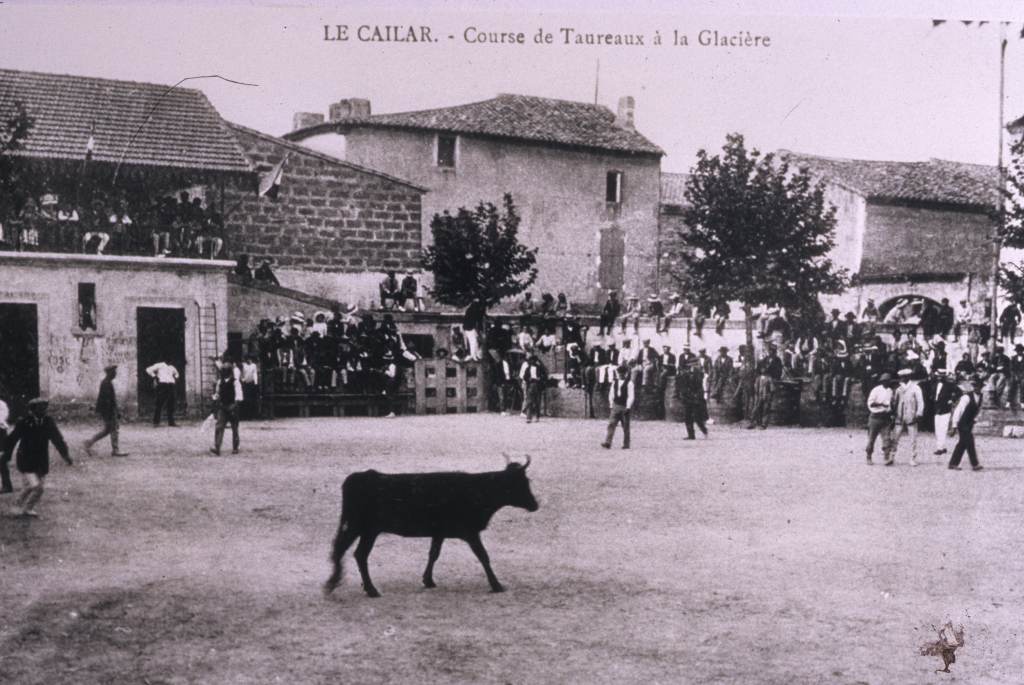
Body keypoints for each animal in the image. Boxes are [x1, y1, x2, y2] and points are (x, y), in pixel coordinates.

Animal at [323, 456, 540, 593]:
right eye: (522, 482)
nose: (535, 504)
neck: (478, 490)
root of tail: (360, 476)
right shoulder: (470, 532)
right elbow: (483, 556)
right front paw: (496, 585)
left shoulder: (439, 532)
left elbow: (434, 554)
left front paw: (428, 580)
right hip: (364, 528)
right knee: (355, 553)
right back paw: (368, 589)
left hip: (359, 528)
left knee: (346, 551)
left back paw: (339, 583)